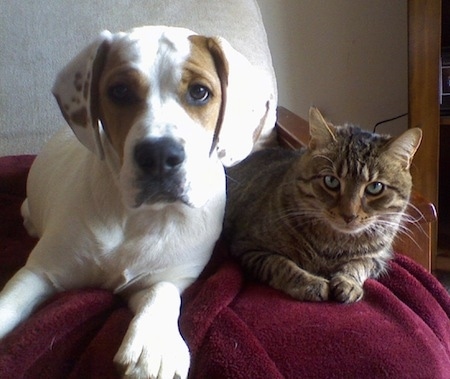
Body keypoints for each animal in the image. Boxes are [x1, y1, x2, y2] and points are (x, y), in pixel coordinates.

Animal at [0, 25, 274, 378]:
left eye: (199, 92)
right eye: (119, 91)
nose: (159, 156)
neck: (139, 217)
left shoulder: (168, 275)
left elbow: (161, 293)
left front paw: (152, 347)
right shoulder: (41, 270)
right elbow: (9, 304)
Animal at [224, 107, 422, 302]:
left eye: (375, 187)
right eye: (331, 181)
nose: (349, 215)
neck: (334, 245)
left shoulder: (380, 258)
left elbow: (359, 264)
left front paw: (348, 282)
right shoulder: (248, 247)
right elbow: (281, 264)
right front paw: (311, 283)